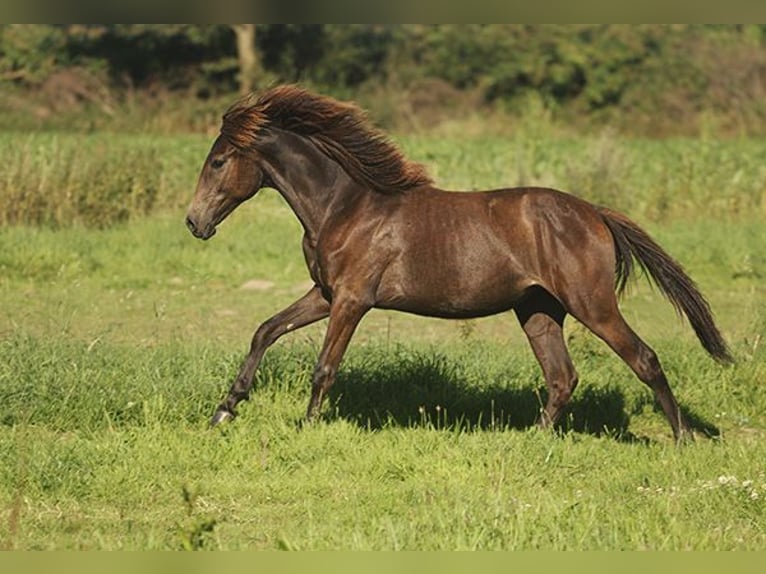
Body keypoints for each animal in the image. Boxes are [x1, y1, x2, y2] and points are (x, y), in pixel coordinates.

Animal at [185, 85, 732, 442]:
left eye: (218, 161)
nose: (194, 223)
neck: (344, 206)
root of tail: (595, 212)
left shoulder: (352, 300)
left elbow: (324, 366)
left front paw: (306, 426)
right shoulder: (325, 294)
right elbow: (265, 330)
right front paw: (224, 412)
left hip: (592, 304)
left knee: (643, 359)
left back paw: (683, 439)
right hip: (538, 310)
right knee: (562, 378)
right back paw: (529, 440)